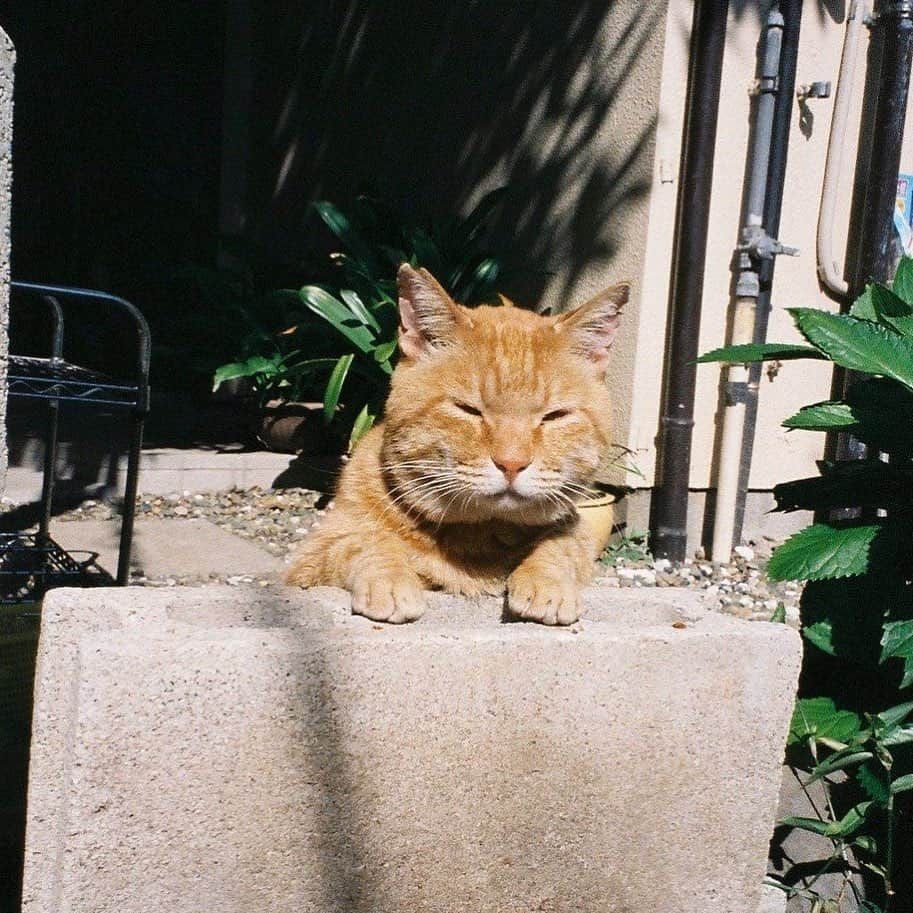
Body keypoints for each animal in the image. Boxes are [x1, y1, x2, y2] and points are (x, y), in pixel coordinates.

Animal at [286, 260, 628, 624]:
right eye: (469, 410)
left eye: (554, 416)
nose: (512, 464)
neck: (478, 539)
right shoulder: (315, 554)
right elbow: (366, 542)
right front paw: (391, 579)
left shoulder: (576, 534)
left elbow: (558, 547)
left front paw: (546, 583)